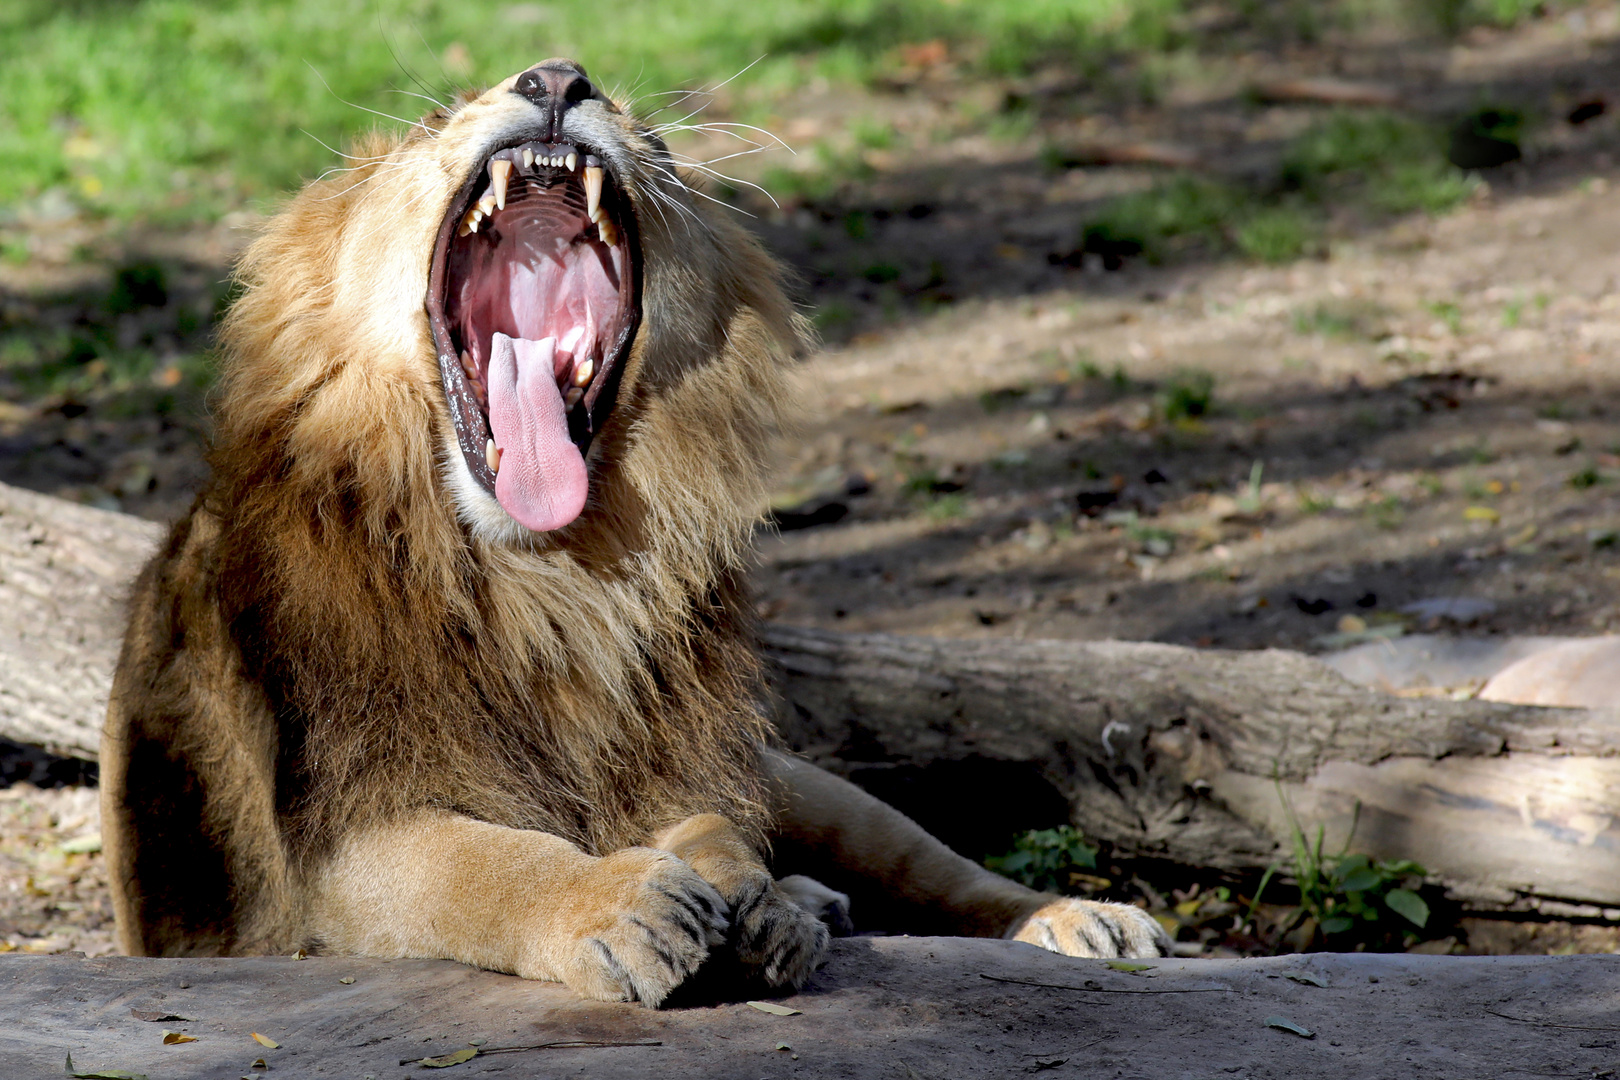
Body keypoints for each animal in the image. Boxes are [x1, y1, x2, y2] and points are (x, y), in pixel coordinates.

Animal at [98, 57, 1166, 1003]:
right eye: (436, 116)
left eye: (649, 134)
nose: (557, 77)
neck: (548, 579)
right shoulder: (336, 846)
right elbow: (481, 862)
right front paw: (617, 907)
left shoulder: (687, 757)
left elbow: (713, 828)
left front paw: (753, 903)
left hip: (807, 785)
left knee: (933, 866)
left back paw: (1069, 918)